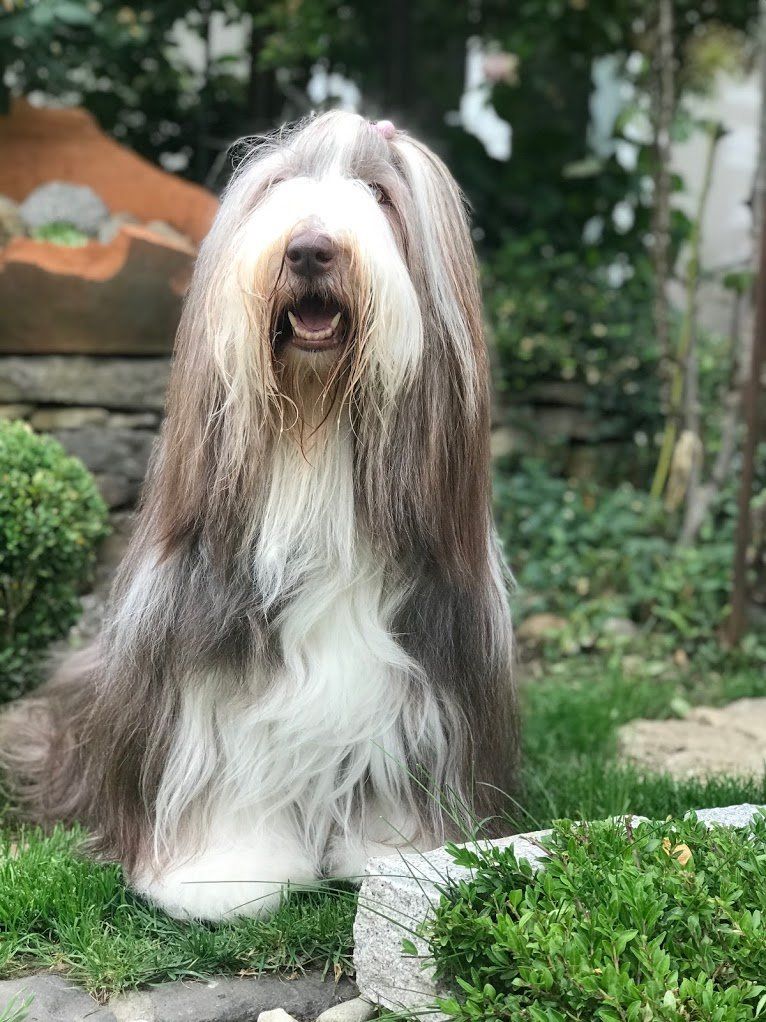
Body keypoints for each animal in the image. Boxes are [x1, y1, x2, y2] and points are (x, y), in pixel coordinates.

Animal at [0, 112, 516, 920]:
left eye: (380, 194)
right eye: (279, 188)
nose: (309, 248)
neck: (316, 458)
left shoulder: (428, 682)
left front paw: (394, 852)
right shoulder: (199, 668)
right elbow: (220, 772)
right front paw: (223, 874)